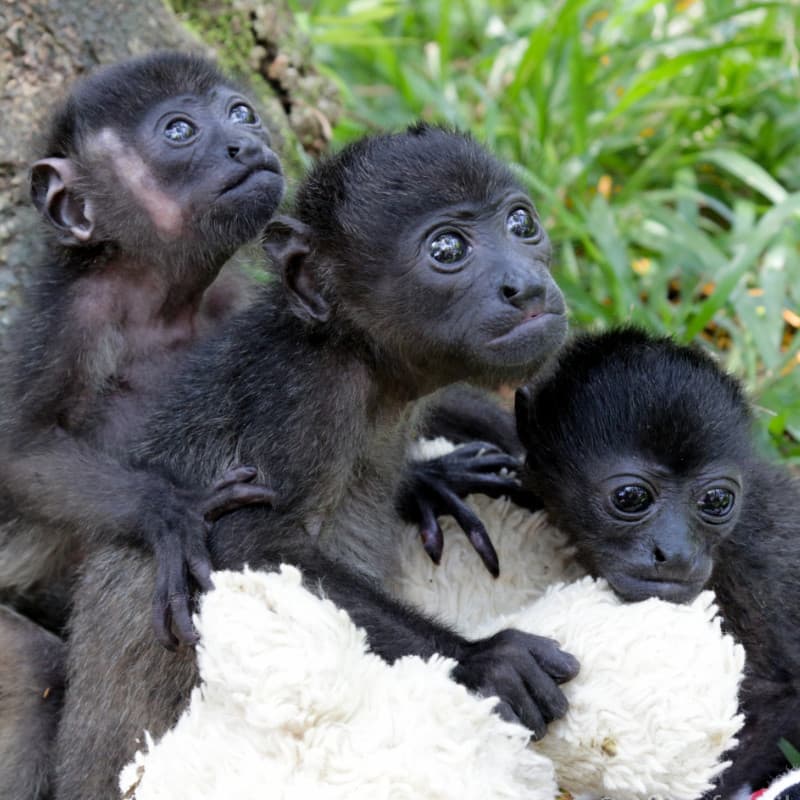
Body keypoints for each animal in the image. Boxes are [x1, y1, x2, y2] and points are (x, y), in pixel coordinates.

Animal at [53, 124, 579, 799]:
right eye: (447, 248)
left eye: (521, 223)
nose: (526, 286)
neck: (355, 354)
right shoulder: (301, 392)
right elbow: (247, 545)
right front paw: (483, 660)